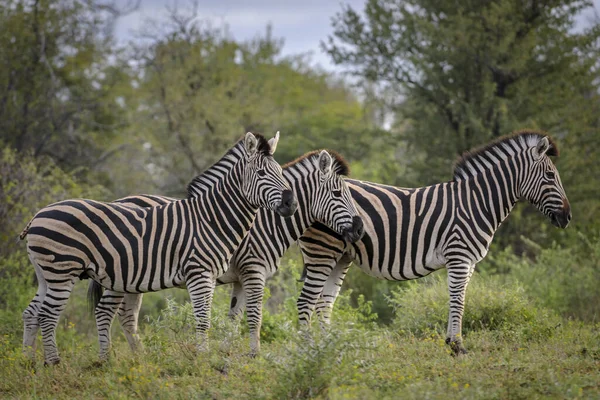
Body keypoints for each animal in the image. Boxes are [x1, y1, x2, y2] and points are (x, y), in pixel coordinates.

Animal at [20, 132, 298, 366]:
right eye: (261, 173)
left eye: (280, 172)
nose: (291, 203)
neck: (212, 219)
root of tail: (37, 216)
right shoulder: (201, 273)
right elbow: (204, 318)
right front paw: (203, 359)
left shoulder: (216, 276)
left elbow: (223, 317)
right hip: (62, 271)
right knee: (48, 315)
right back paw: (53, 363)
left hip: (46, 275)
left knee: (32, 312)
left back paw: (31, 363)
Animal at [88, 149, 360, 356]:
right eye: (338, 193)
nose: (359, 229)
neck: (267, 222)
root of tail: (118, 201)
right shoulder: (254, 269)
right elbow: (255, 315)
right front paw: (254, 355)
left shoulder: (240, 277)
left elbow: (234, 318)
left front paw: (226, 353)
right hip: (121, 271)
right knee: (105, 311)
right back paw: (109, 359)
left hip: (134, 279)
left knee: (126, 316)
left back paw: (140, 358)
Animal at [296, 130, 572, 354]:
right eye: (550, 175)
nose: (567, 217)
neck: (476, 202)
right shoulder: (459, 256)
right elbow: (458, 299)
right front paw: (458, 346)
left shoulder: (469, 261)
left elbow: (458, 298)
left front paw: (451, 342)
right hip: (323, 251)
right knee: (306, 301)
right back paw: (308, 353)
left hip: (341, 256)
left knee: (323, 303)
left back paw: (329, 349)